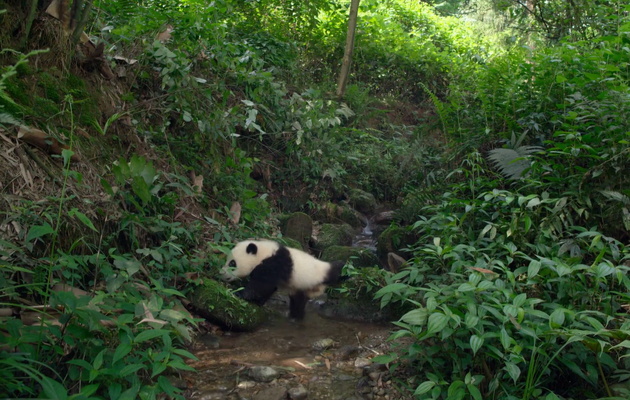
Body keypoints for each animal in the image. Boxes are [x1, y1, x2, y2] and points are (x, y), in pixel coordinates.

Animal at [221, 239, 350, 320]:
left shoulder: (273, 264)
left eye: (232, 263)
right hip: (301, 286)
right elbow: (268, 288)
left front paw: (239, 293)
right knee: (298, 300)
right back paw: (295, 316)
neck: (263, 253)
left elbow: (261, 285)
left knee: (338, 269)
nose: (222, 273)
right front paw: (258, 301)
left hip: (319, 273)